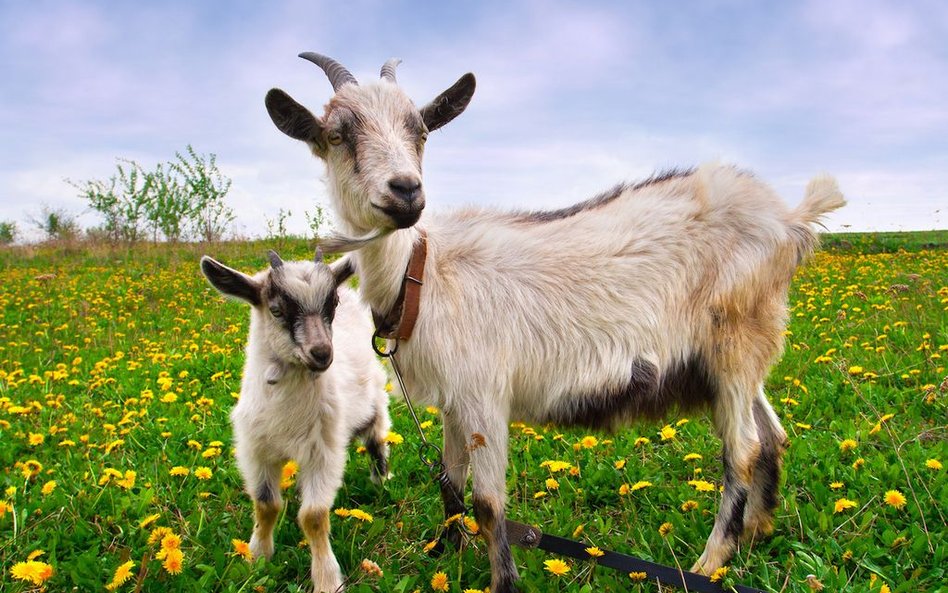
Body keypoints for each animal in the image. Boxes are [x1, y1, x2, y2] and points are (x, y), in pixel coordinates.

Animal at [262, 53, 848, 588]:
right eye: (337, 134)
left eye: (421, 130)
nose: (405, 191)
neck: (422, 272)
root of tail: (790, 221)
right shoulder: (453, 401)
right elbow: (450, 482)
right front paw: (443, 554)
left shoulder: (484, 395)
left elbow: (487, 502)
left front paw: (502, 581)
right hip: (741, 355)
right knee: (772, 435)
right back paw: (756, 534)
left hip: (734, 344)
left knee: (743, 450)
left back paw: (710, 561)